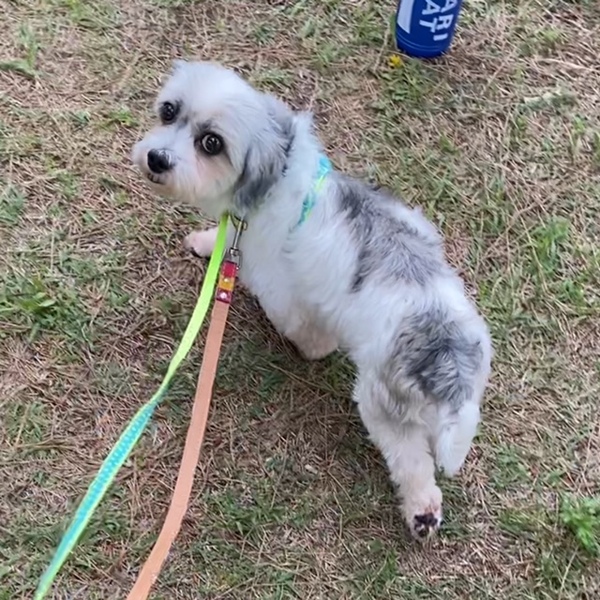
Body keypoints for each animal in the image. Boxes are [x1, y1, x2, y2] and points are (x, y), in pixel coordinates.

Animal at [132, 60, 492, 540]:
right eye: (168, 111)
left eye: (211, 143)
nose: (157, 158)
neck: (281, 168)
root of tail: (445, 351)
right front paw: (207, 241)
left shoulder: (278, 284)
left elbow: (303, 327)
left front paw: (308, 347)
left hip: (385, 408)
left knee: (412, 462)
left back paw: (421, 510)